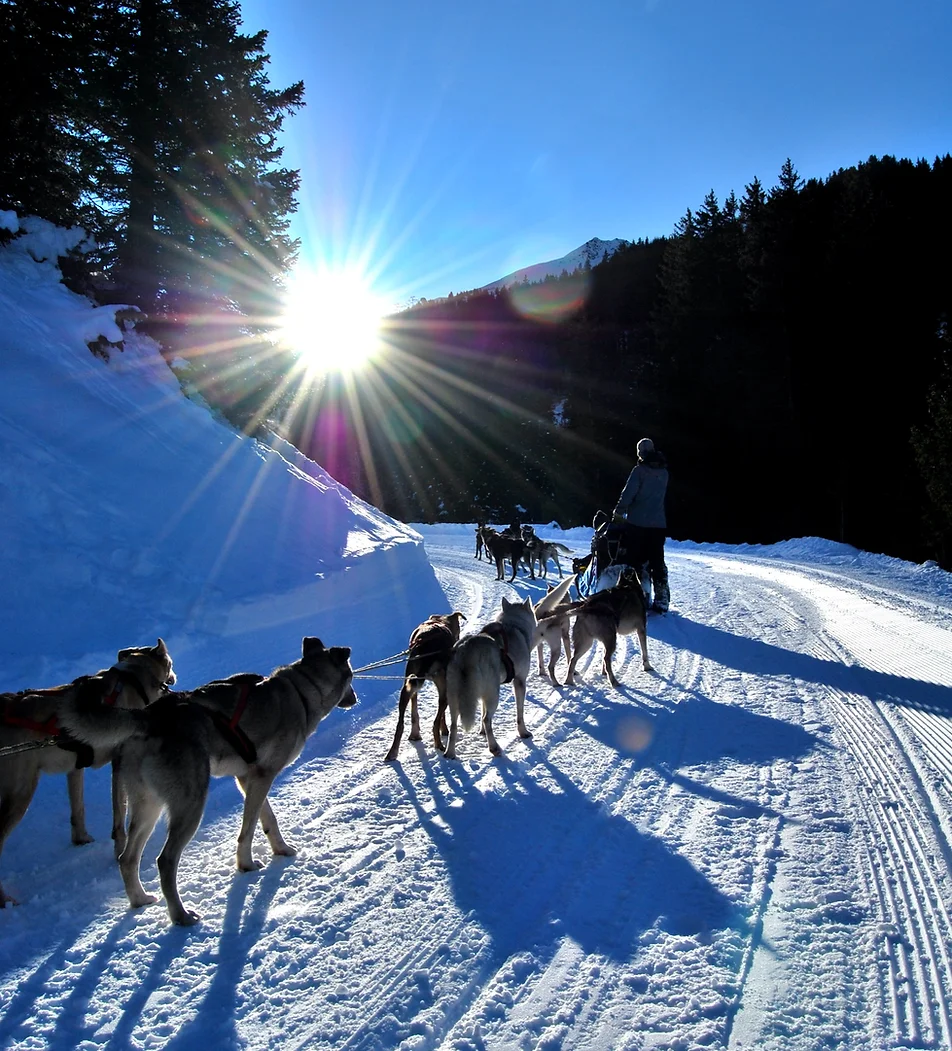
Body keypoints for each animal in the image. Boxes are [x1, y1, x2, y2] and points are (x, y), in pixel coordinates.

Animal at [0, 639, 174, 912]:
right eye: (171, 663)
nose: (175, 677)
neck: (132, 677)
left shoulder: (75, 768)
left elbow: (78, 809)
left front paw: (81, 838)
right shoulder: (118, 763)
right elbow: (119, 818)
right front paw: (119, 848)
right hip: (21, 793)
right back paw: (5, 899)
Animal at [59, 634, 357, 924]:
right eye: (352, 676)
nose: (355, 698)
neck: (302, 690)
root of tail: (149, 717)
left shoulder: (248, 779)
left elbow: (268, 820)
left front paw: (280, 849)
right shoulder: (262, 777)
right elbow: (248, 830)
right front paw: (247, 865)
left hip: (148, 808)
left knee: (127, 859)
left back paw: (140, 899)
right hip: (190, 805)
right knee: (165, 861)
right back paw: (181, 916)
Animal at [382, 609, 464, 765]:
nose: (458, 638)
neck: (440, 621)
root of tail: (425, 646)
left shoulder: (413, 686)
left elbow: (415, 711)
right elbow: (441, 716)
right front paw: (445, 730)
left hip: (407, 687)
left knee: (400, 724)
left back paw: (394, 751)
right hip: (442, 686)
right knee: (435, 721)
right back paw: (439, 745)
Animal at [443, 596, 537, 760]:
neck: (514, 625)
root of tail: (466, 649)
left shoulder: (482, 694)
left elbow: (482, 710)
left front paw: (481, 732)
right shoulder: (519, 681)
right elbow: (519, 713)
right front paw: (523, 732)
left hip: (455, 696)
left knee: (454, 724)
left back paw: (450, 753)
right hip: (494, 694)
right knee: (487, 719)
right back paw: (494, 747)